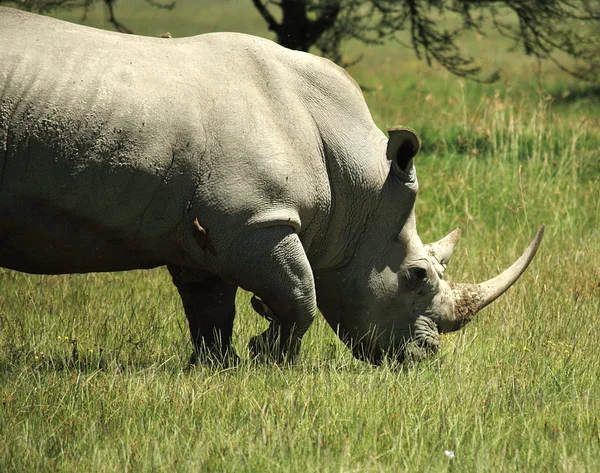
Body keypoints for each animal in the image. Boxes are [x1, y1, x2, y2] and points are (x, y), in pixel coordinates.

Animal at [0, 7, 544, 364]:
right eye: (417, 276)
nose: (424, 357)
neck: (359, 188)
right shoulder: (256, 218)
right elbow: (301, 292)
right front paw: (269, 357)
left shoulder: (205, 229)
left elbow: (210, 308)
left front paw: (217, 367)